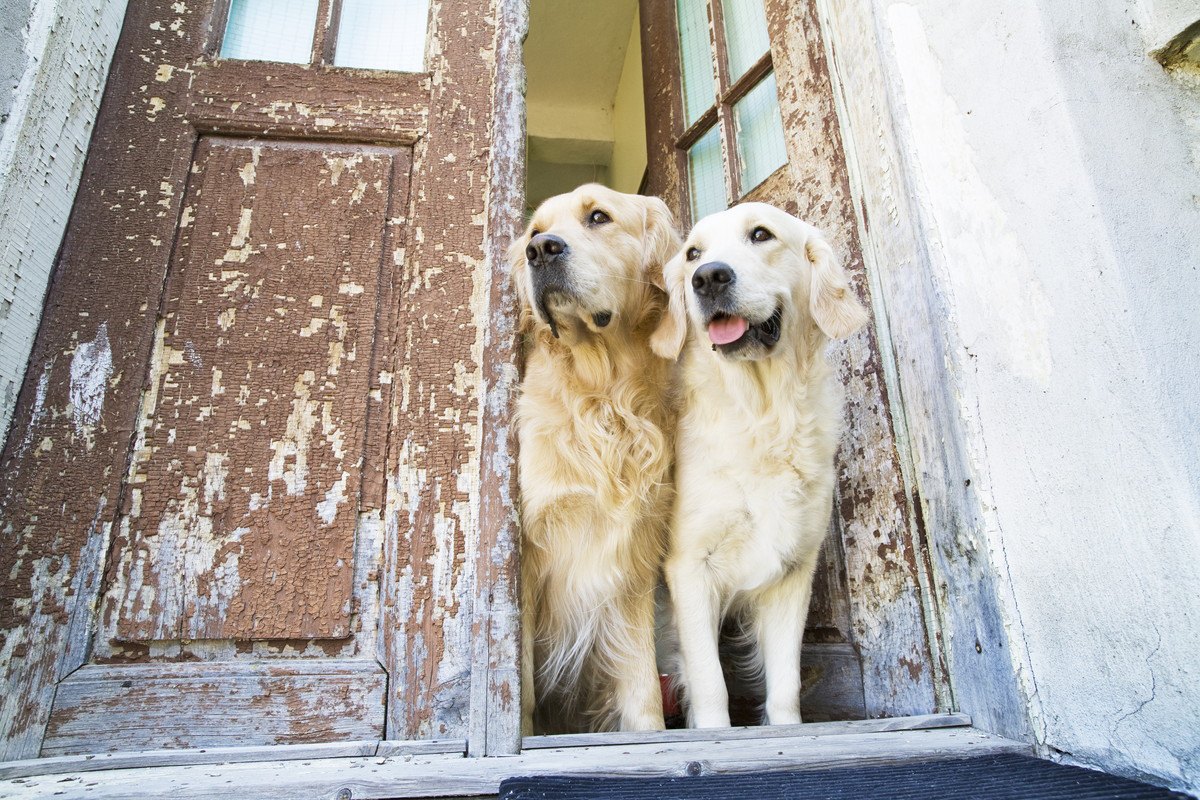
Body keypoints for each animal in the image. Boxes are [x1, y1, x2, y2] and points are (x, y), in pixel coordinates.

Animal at [513, 184, 686, 734]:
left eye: (598, 217)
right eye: (534, 230)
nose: (540, 250)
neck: (604, 396)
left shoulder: (634, 558)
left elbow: (641, 689)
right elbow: (521, 691)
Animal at [652, 203, 868, 729]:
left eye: (760, 235)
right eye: (692, 254)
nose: (708, 278)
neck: (762, 415)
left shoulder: (793, 572)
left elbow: (786, 684)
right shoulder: (689, 566)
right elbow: (710, 682)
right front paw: (714, 732)